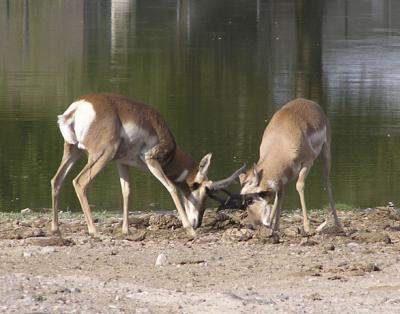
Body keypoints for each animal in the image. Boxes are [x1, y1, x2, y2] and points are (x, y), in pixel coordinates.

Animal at [51, 93, 245, 236]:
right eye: (202, 189)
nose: (197, 223)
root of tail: (78, 107)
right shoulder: (152, 161)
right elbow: (171, 188)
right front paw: (189, 230)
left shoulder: (122, 163)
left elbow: (126, 191)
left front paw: (126, 230)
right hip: (101, 155)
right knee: (79, 182)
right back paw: (93, 230)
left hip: (73, 151)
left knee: (56, 180)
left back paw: (55, 228)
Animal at [239, 98, 342, 233]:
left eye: (250, 200)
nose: (253, 224)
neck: (281, 139)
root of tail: (310, 103)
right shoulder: (281, 178)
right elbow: (279, 195)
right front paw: (274, 227)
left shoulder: (308, 163)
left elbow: (299, 186)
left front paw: (307, 227)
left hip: (326, 152)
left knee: (327, 183)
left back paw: (338, 223)